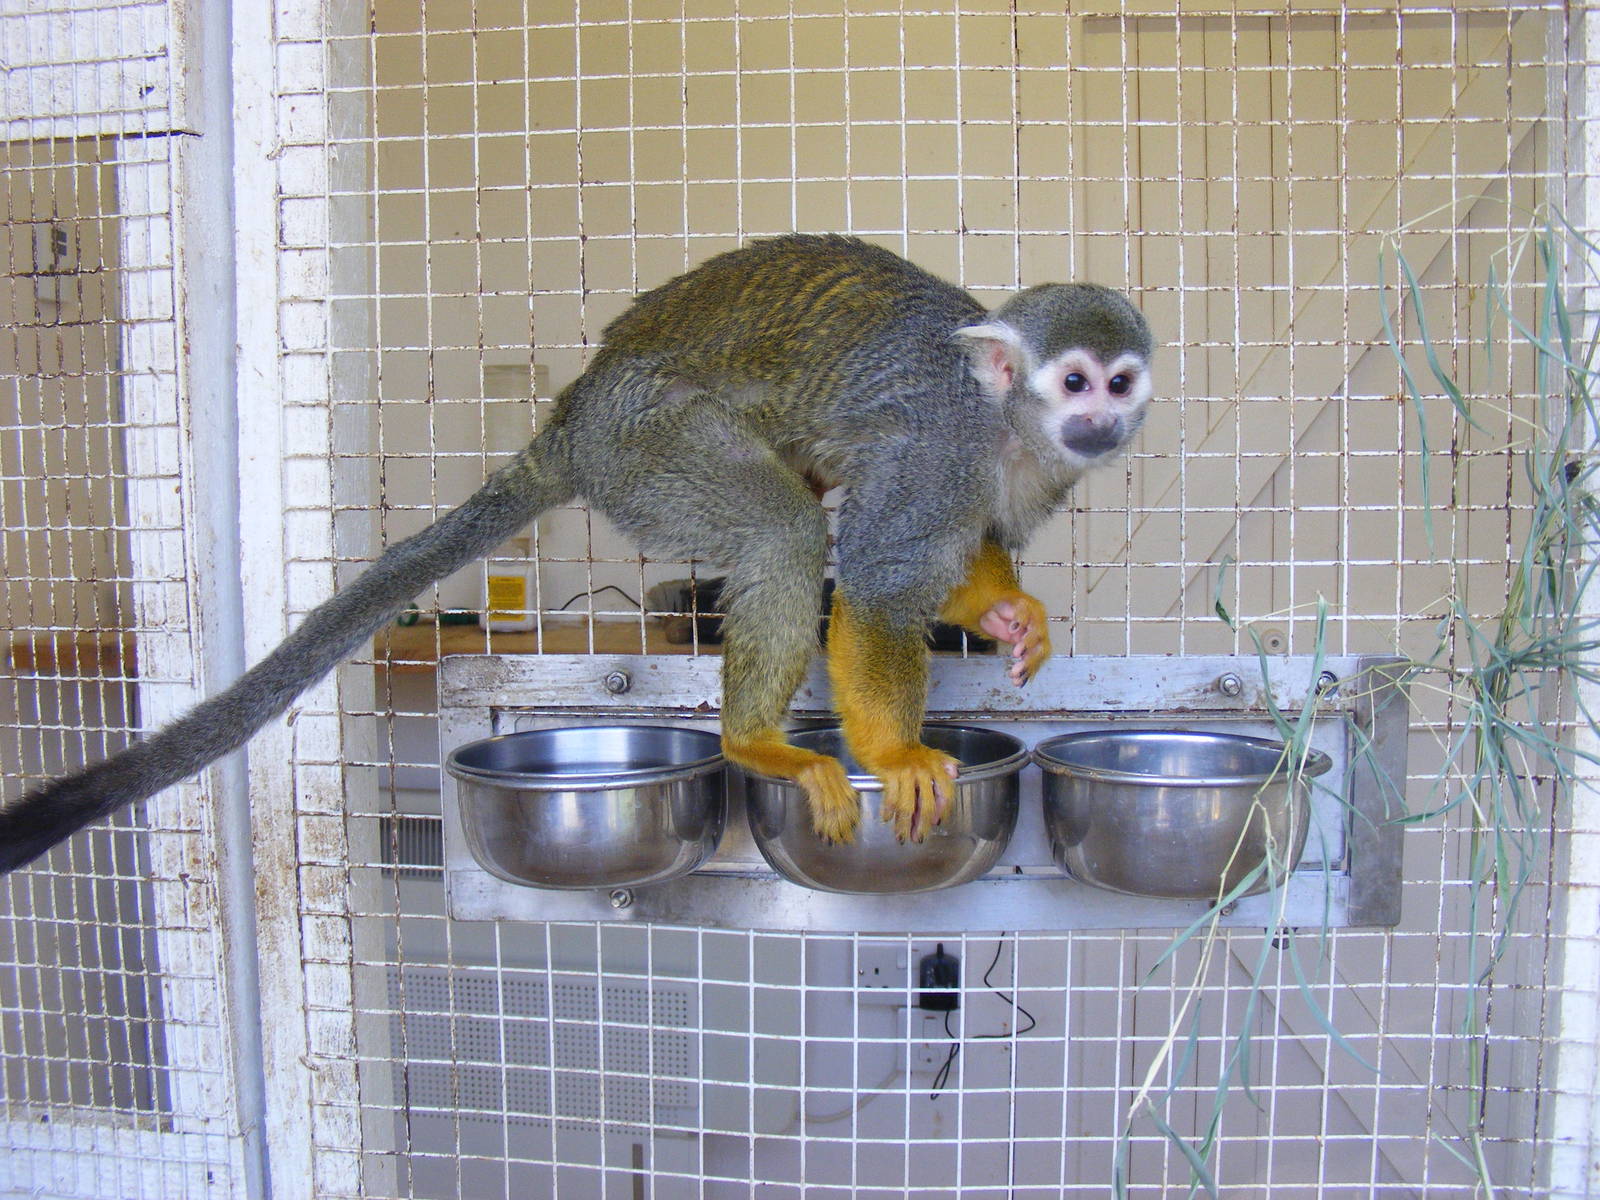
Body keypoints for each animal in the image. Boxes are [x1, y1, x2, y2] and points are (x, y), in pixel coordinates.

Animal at [0, 234, 1153, 874]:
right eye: (1074, 380)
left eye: (1122, 381)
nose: (1102, 421)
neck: (1008, 428)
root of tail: (576, 412)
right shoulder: (941, 448)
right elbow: (874, 577)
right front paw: (893, 752)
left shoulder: (1024, 473)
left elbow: (957, 551)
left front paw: (1003, 612)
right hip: (647, 445)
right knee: (781, 527)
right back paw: (755, 743)